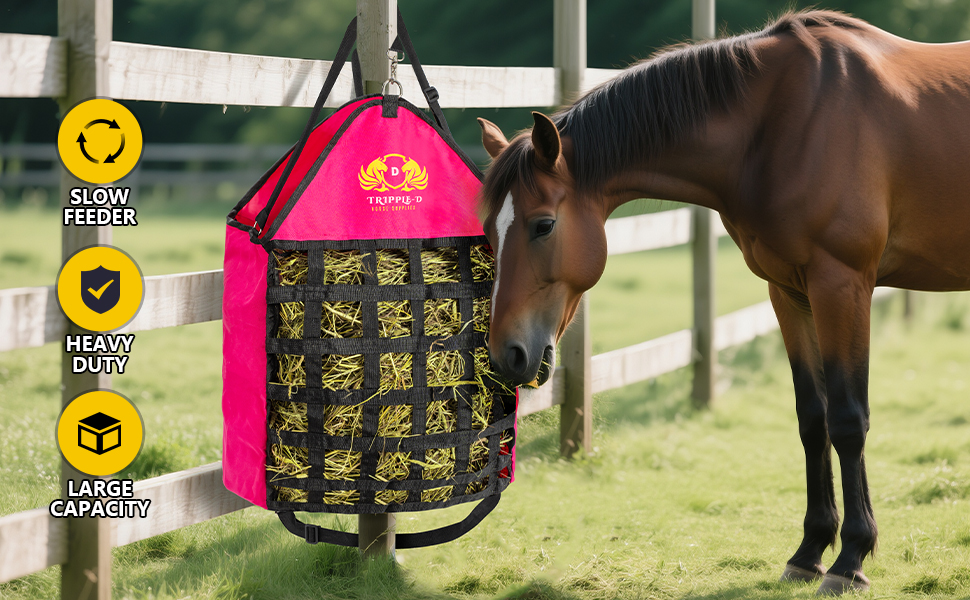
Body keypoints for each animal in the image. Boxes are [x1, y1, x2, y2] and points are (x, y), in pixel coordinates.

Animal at [476, 10, 970, 596]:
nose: (506, 354)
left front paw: (850, 559)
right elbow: (814, 419)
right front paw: (809, 552)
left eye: (543, 225)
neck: (786, 122)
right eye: (489, 230)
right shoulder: (790, 292)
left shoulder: (841, 285)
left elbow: (849, 420)